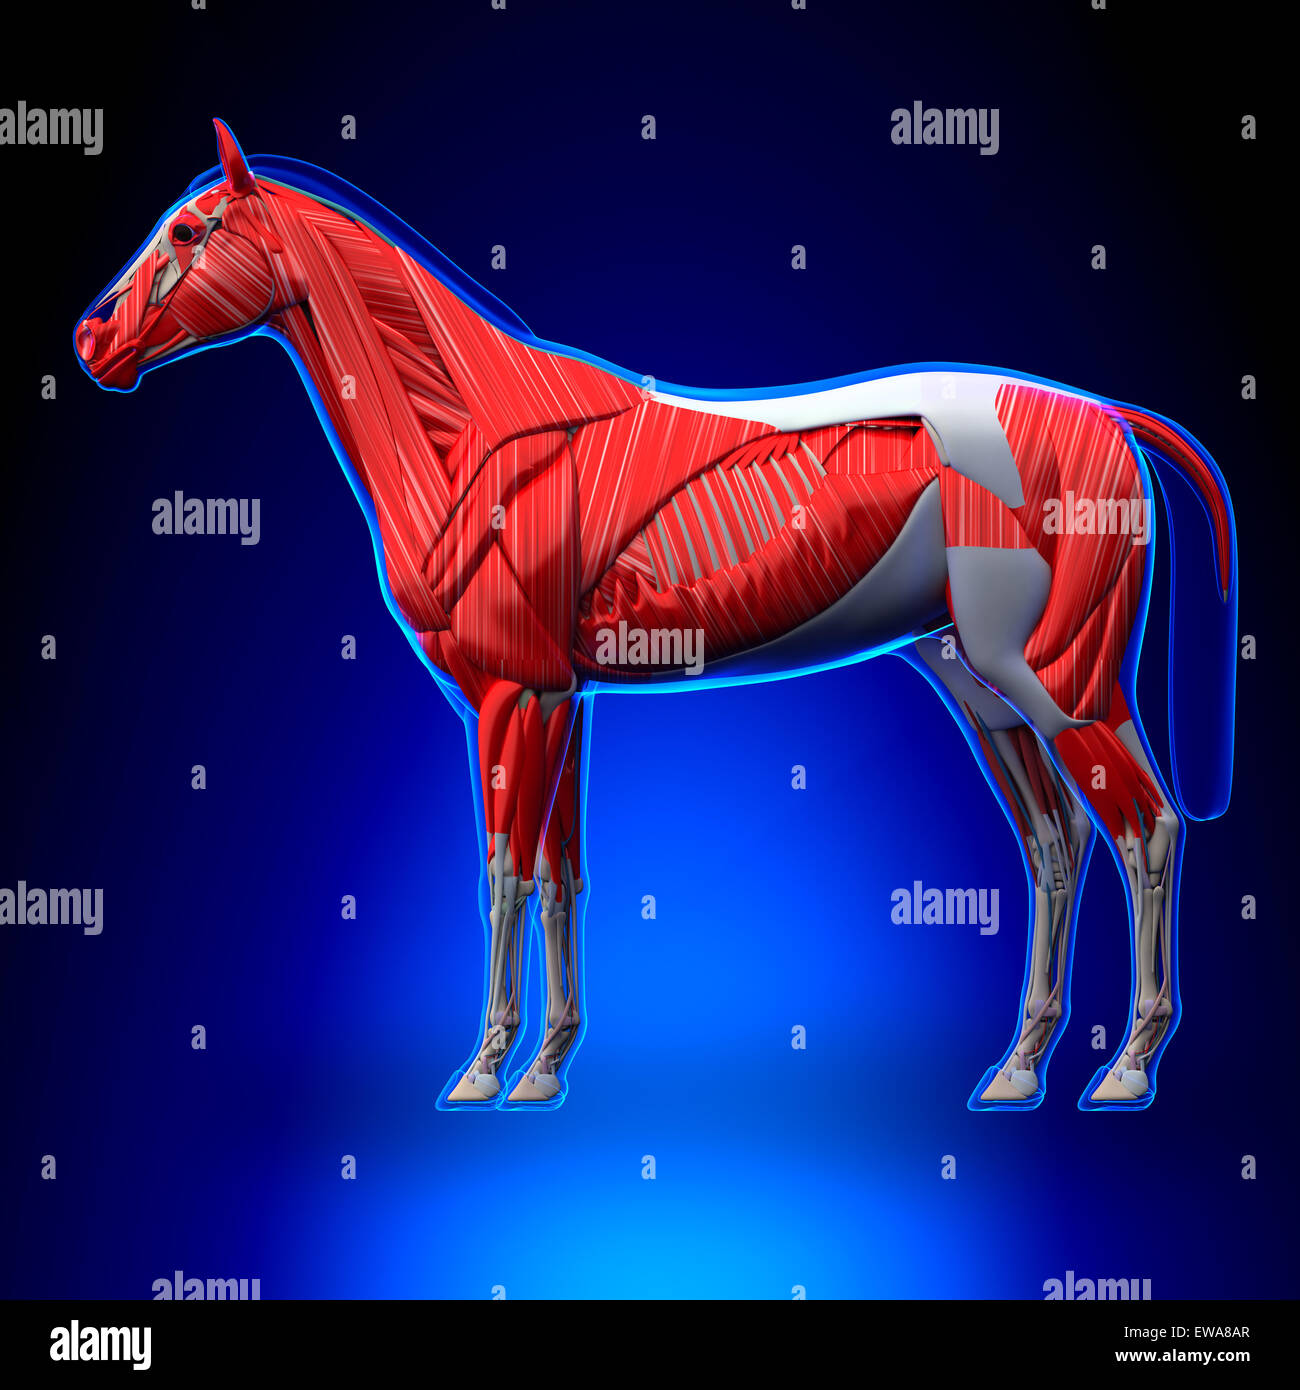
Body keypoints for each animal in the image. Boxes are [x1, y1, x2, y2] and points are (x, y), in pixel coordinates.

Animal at [75, 120, 1237, 1112]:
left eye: (188, 230)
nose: (92, 340)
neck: (473, 439)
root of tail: (1111, 417)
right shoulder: (560, 699)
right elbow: (559, 876)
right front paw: (545, 1068)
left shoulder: (510, 697)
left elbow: (502, 875)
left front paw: (483, 1070)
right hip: (976, 680)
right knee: (1056, 843)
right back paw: (1019, 1067)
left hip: (1055, 672)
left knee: (1146, 828)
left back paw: (1128, 1067)